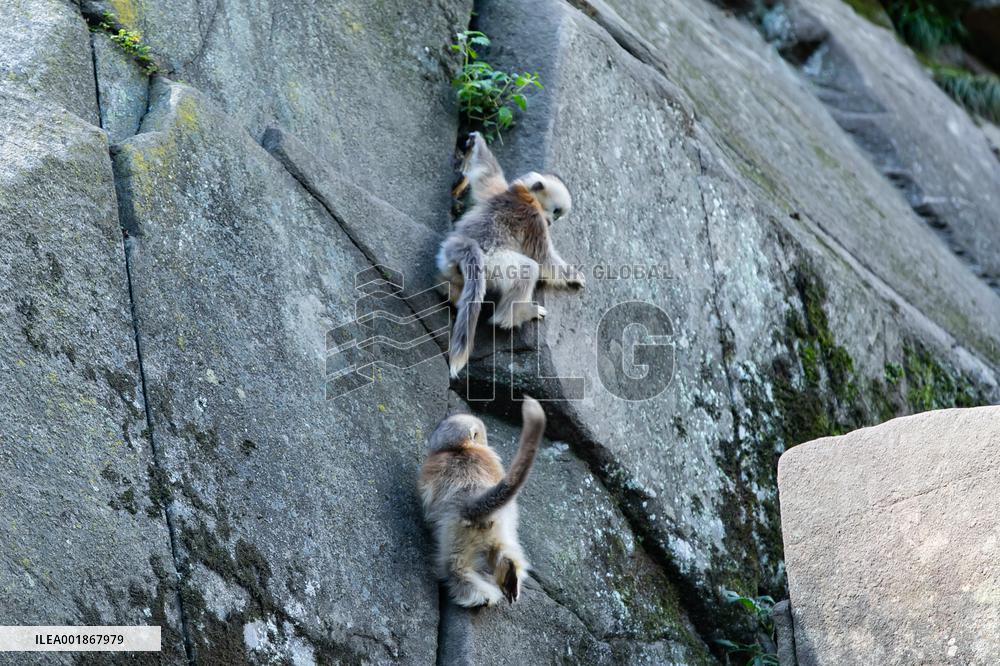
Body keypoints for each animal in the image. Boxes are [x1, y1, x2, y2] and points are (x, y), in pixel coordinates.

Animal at [418, 396, 546, 608]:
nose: (486, 441)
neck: (460, 449)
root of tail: (470, 505)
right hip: (500, 525)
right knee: (502, 550)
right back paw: (510, 576)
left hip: (455, 532)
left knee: (454, 565)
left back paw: (476, 593)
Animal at [438, 132, 586, 377]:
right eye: (556, 212)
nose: (552, 221)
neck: (523, 194)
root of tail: (465, 248)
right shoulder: (535, 220)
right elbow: (544, 260)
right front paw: (574, 276)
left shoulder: (497, 188)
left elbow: (487, 170)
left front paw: (475, 140)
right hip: (494, 264)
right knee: (528, 269)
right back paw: (516, 315)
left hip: (447, 262)